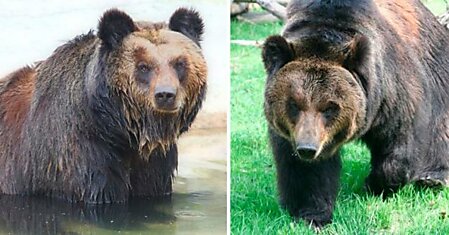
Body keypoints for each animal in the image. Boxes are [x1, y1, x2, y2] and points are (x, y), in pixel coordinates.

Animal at [260, 0, 448, 229]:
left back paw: (433, 178)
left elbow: (401, 146)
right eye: (293, 104)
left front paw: (374, 185)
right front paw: (312, 215)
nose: (307, 148)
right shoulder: (291, 131)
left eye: (330, 107)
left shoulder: (392, 93)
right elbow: (304, 170)